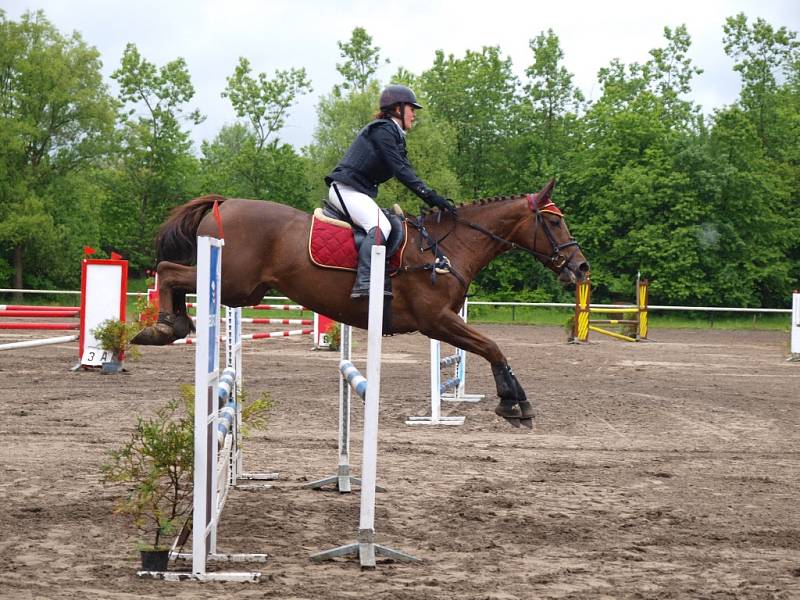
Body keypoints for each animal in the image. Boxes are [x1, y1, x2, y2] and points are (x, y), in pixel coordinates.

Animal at [134, 178, 592, 426]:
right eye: (554, 222)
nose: (581, 267)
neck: (448, 247)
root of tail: (223, 203)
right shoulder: (435, 320)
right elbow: (493, 347)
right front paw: (515, 402)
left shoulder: (443, 320)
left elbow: (492, 347)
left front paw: (515, 399)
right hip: (234, 283)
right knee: (168, 269)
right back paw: (164, 326)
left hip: (244, 290)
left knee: (173, 273)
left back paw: (169, 326)